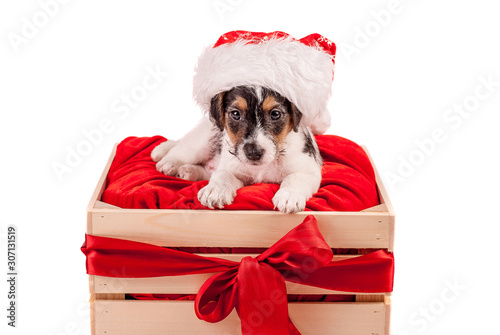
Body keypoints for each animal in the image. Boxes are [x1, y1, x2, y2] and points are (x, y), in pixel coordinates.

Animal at [152, 86, 322, 213]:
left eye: (275, 114)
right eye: (235, 114)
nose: (253, 152)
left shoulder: (309, 171)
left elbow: (294, 178)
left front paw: (288, 196)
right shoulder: (232, 167)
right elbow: (223, 175)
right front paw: (215, 190)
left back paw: (188, 171)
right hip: (201, 142)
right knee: (181, 149)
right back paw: (170, 163)